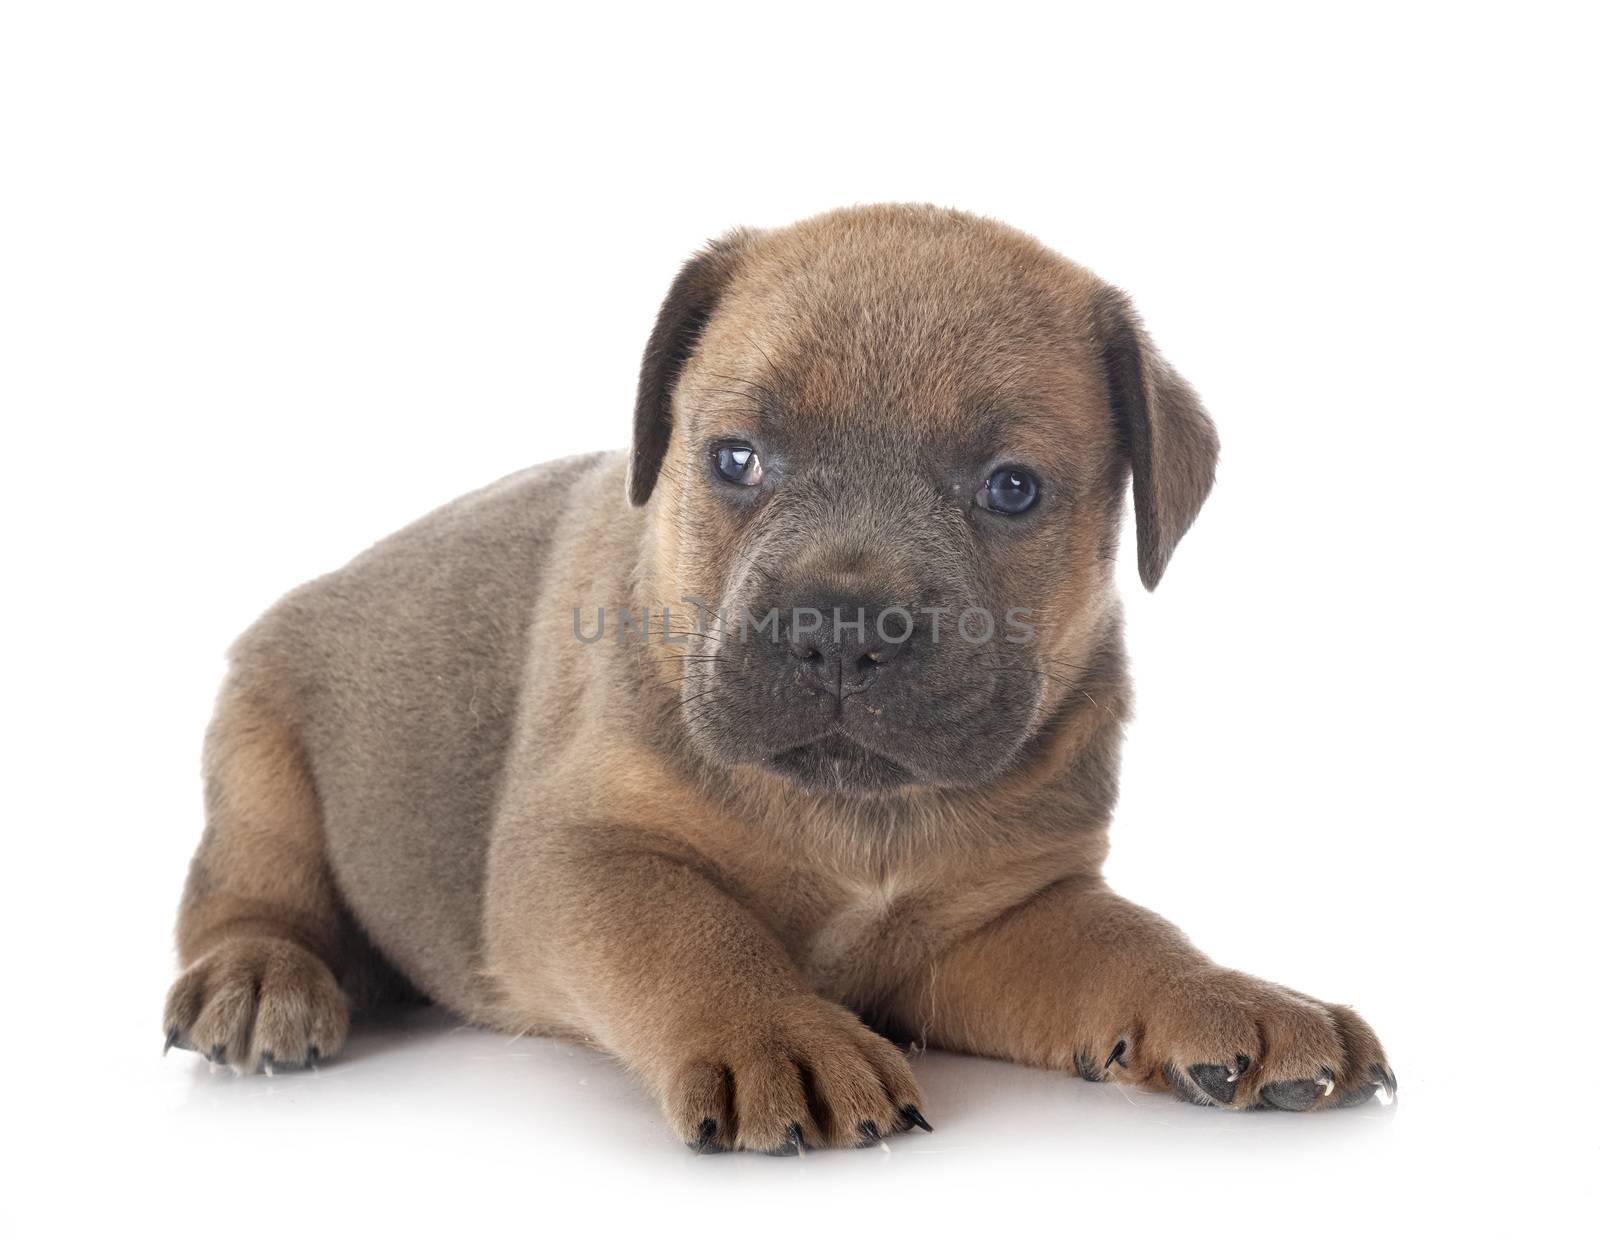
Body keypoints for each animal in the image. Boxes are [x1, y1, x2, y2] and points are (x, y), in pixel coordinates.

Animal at [162, 206, 1388, 1152]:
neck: (854, 813)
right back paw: (259, 978)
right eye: (735, 459)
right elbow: (695, 932)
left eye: (1011, 489)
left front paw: (1232, 998)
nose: (840, 626)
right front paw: (776, 1033)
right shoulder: (582, 857)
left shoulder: (1000, 919)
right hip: (256, 745)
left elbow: (1132, 940)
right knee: (244, 892)